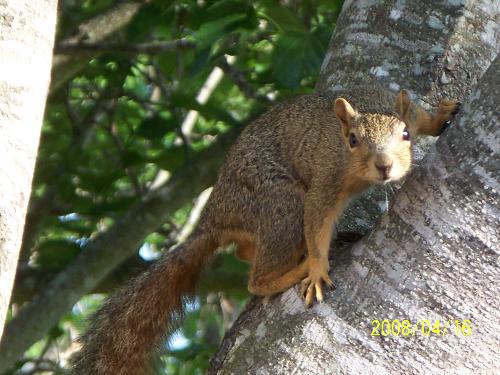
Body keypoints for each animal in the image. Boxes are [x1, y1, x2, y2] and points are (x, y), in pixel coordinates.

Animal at [71, 83, 460, 374]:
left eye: (405, 134)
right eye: (352, 140)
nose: (385, 166)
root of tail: (215, 215)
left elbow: (420, 113)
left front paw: (443, 115)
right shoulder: (325, 183)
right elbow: (316, 221)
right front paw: (317, 268)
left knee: (246, 251)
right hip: (281, 201)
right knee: (256, 280)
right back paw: (295, 269)